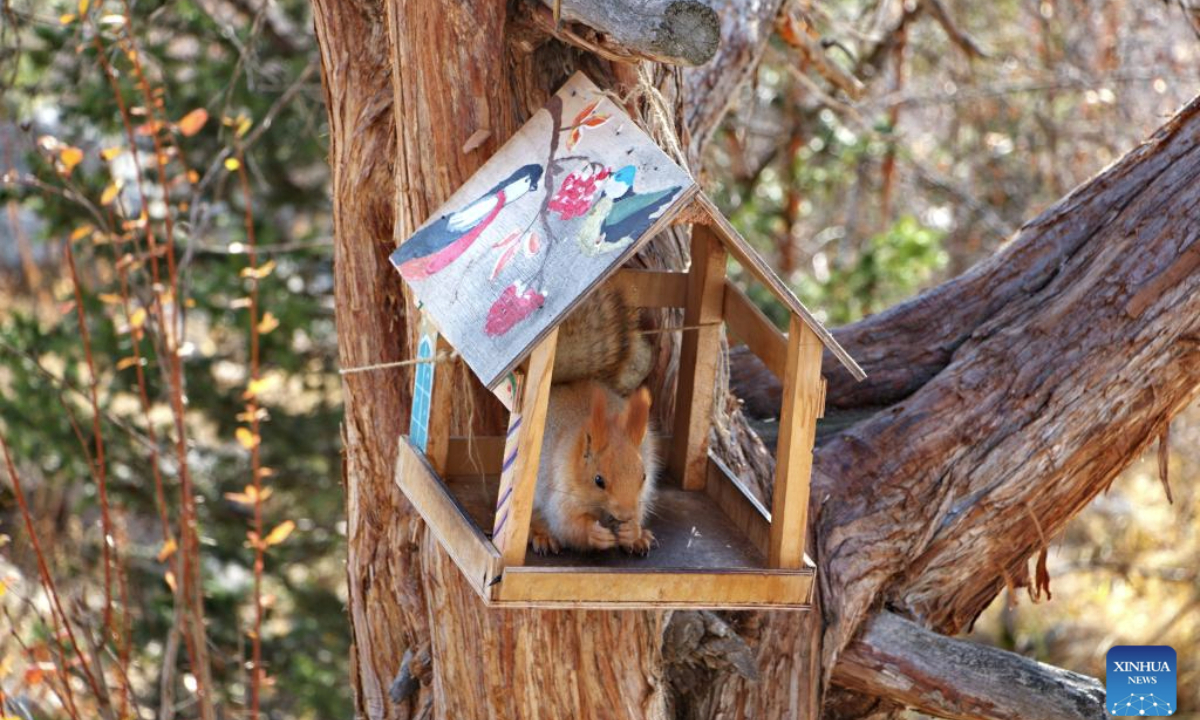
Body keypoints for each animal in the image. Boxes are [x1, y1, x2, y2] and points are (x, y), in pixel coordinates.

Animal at [528, 283, 658, 555]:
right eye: (599, 480)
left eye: (643, 476)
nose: (625, 514)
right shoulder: (561, 490)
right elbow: (567, 525)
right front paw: (596, 535)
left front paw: (633, 531)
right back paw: (542, 535)